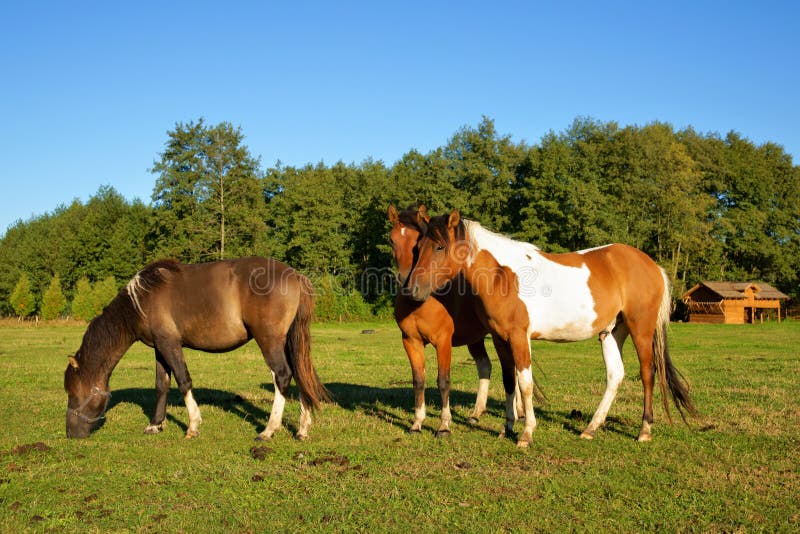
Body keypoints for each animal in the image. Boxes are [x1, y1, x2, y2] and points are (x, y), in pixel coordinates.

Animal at [64, 258, 330, 442]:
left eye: (73, 393)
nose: (70, 433)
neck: (141, 300)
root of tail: (295, 275)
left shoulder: (170, 344)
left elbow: (183, 380)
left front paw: (192, 426)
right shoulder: (159, 348)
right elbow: (161, 385)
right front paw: (155, 425)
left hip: (269, 341)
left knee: (283, 377)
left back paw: (268, 430)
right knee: (299, 374)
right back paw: (302, 429)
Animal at [404, 209, 696, 448]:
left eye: (439, 246)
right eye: (418, 247)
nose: (413, 290)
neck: (503, 275)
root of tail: (652, 265)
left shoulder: (519, 337)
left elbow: (525, 384)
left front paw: (526, 433)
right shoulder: (500, 339)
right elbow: (509, 382)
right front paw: (507, 428)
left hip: (641, 329)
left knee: (648, 374)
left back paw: (644, 430)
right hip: (611, 332)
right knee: (615, 375)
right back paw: (591, 428)